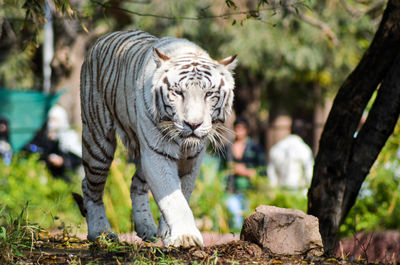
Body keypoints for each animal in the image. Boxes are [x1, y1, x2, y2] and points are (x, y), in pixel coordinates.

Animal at [76, 29, 236, 246]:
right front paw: (186, 237)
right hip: (98, 141)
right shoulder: (157, 154)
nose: (193, 124)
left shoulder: (191, 160)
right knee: (90, 186)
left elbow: (181, 194)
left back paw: (146, 228)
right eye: (178, 92)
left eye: (209, 93)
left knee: (136, 183)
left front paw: (169, 235)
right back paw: (101, 232)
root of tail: (104, 37)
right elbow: (174, 199)